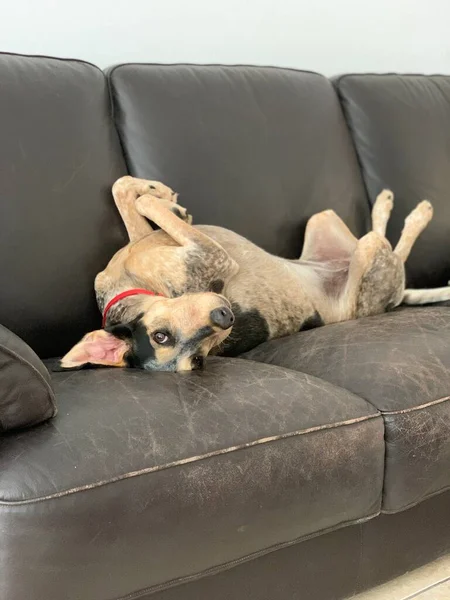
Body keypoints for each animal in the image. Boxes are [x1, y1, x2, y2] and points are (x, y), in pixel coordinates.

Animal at [58, 176, 450, 370]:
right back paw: (416, 212)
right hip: (370, 262)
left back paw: (386, 201)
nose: (226, 315)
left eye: (160, 336)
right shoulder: (213, 257)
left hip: (322, 220)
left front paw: (162, 195)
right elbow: (140, 202)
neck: (136, 288)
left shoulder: (143, 241)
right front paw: (163, 200)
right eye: (198, 361)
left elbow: (127, 193)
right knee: (394, 253)